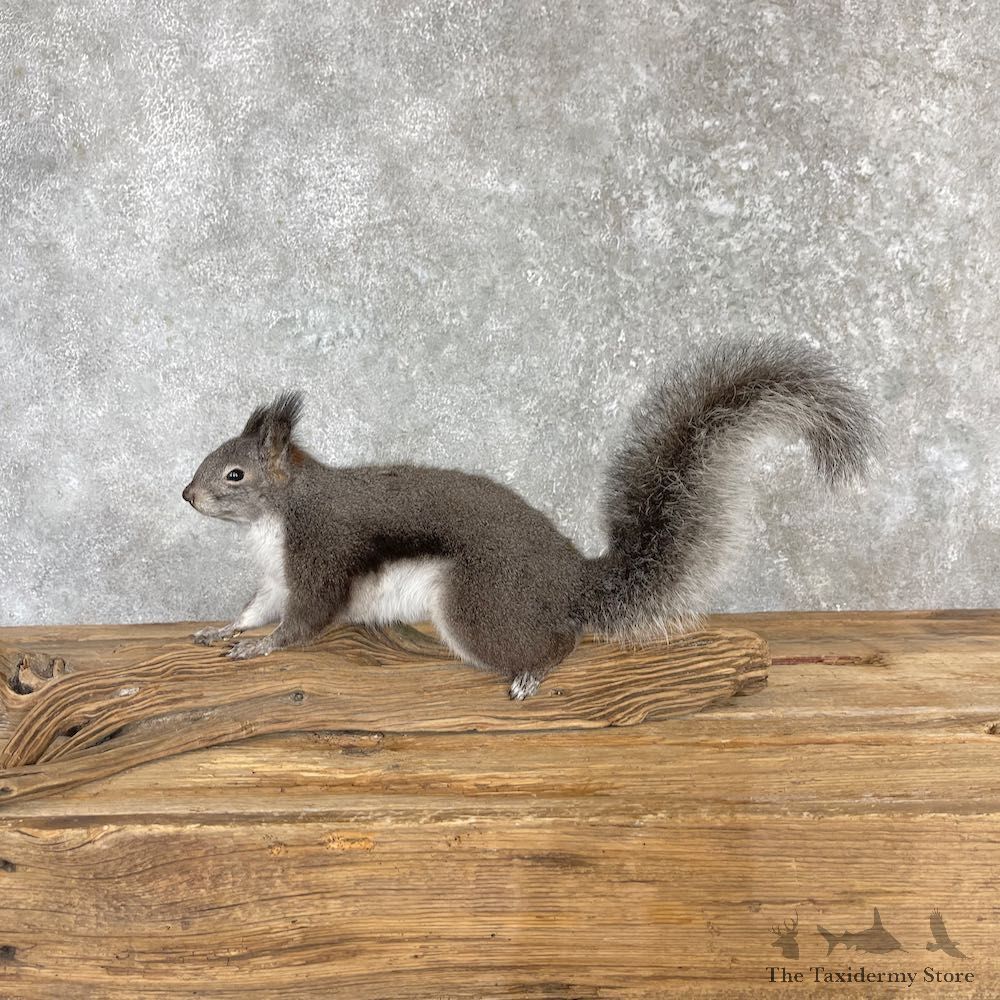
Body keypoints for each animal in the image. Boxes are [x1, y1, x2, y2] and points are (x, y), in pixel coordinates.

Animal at [182, 337, 881, 699]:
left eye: (234, 474)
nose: (188, 495)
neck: (280, 514)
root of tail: (568, 580)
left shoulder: (320, 554)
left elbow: (303, 621)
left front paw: (262, 647)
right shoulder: (276, 576)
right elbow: (257, 606)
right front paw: (223, 631)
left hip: (478, 605)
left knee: (558, 644)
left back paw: (529, 674)